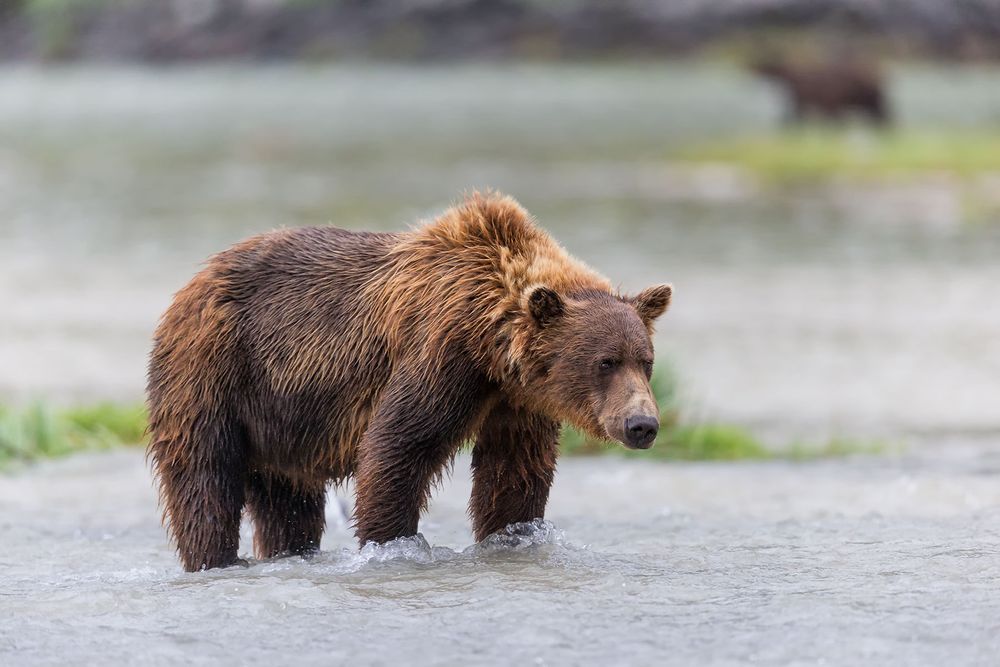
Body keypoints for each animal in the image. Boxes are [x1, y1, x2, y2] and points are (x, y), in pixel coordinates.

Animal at [147, 192, 673, 571]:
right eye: (605, 362)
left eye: (645, 361)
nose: (642, 424)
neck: (491, 344)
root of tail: (192, 282)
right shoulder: (441, 353)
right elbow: (399, 444)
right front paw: (389, 543)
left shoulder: (518, 401)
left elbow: (515, 473)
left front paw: (514, 536)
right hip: (215, 370)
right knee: (205, 478)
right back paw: (214, 559)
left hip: (279, 422)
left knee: (287, 501)